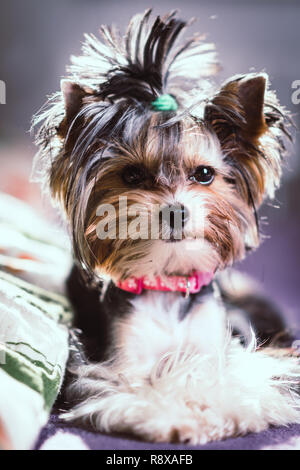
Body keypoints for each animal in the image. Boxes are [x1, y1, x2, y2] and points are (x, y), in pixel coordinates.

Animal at [32, 11, 300, 444]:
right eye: (132, 175)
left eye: (204, 174)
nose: (176, 211)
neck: (167, 279)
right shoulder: (116, 362)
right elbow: (142, 386)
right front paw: (175, 416)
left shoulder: (215, 344)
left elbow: (221, 374)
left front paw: (222, 407)